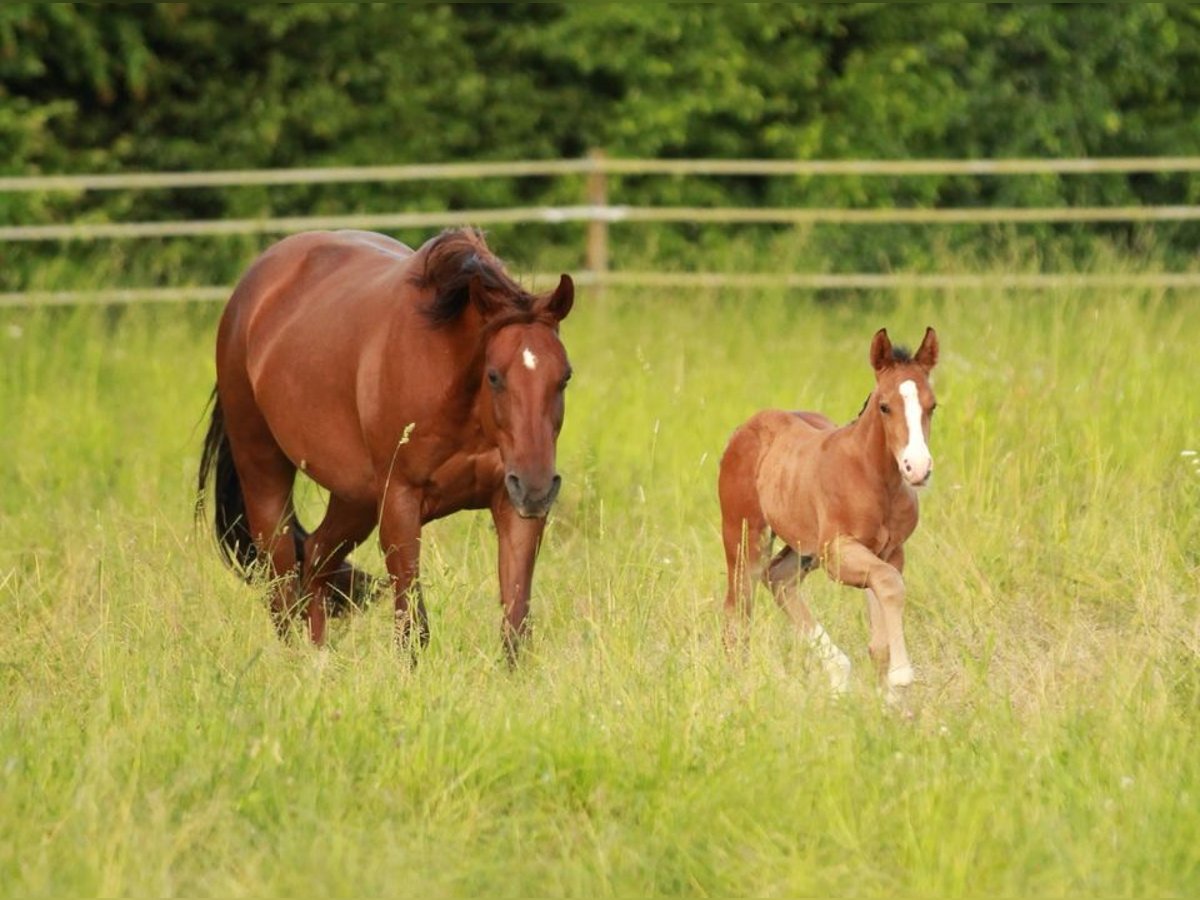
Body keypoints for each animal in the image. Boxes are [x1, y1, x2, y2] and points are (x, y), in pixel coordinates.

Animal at [195, 226, 571, 662]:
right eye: (494, 376)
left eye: (564, 376)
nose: (536, 488)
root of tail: (247, 296)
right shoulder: (400, 505)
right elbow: (412, 629)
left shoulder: (511, 505)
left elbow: (515, 629)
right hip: (264, 471)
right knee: (282, 580)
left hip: (354, 498)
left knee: (317, 561)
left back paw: (322, 661)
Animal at [720, 328, 936, 696]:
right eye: (884, 406)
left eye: (932, 406)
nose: (917, 467)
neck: (875, 478)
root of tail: (746, 426)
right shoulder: (838, 551)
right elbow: (890, 584)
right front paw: (902, 674)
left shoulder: (890, 552)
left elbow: (880, 630)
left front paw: (889, 697)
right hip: (745, 538)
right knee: (739, 611)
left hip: (804, 548)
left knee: (778, 578)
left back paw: (838, 674)